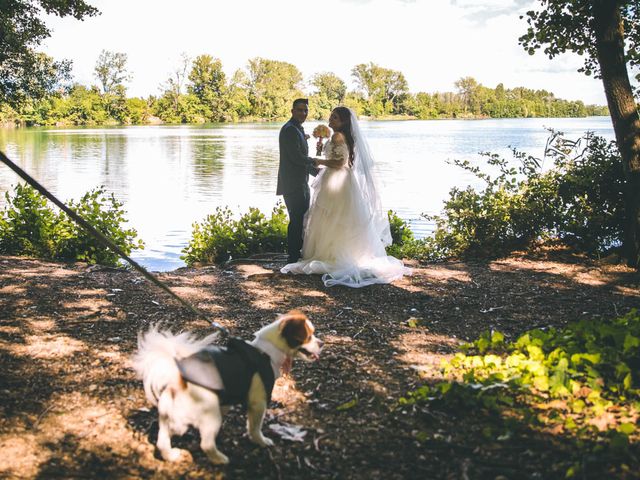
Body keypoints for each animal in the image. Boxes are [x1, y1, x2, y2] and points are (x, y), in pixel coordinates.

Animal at [131, 312, 320, 464]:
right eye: (309, 336)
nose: (322, 343)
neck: (266, 352)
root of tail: (178, 379)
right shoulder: (258, 403)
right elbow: (255, 427)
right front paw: (261, 441)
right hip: (210, 415)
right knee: (205, 444)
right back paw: (219, 458)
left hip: (169, 417)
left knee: (162, 441)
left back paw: (172, 456)